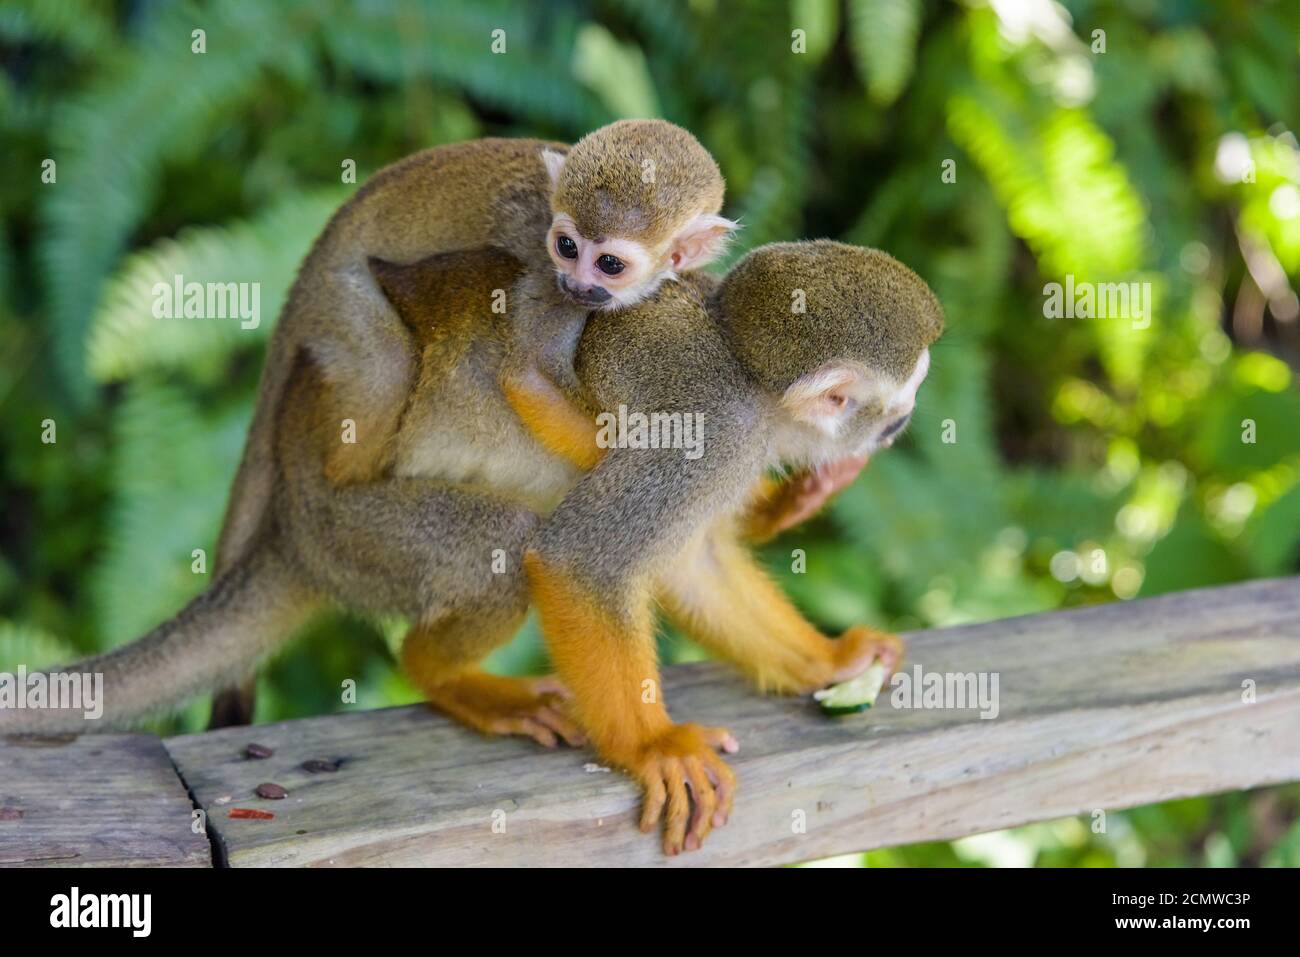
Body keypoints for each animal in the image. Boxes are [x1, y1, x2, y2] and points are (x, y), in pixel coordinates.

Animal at [1, 238, 942, 858]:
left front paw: (828, 660)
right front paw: (652, 748)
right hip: (361, 531)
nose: (898, 427)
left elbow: (689, 562)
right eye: (899, 400)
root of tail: (290, 528)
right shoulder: (711, 439)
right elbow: (579, 560)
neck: (751, 381)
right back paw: (446, 674)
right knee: (505, 544)